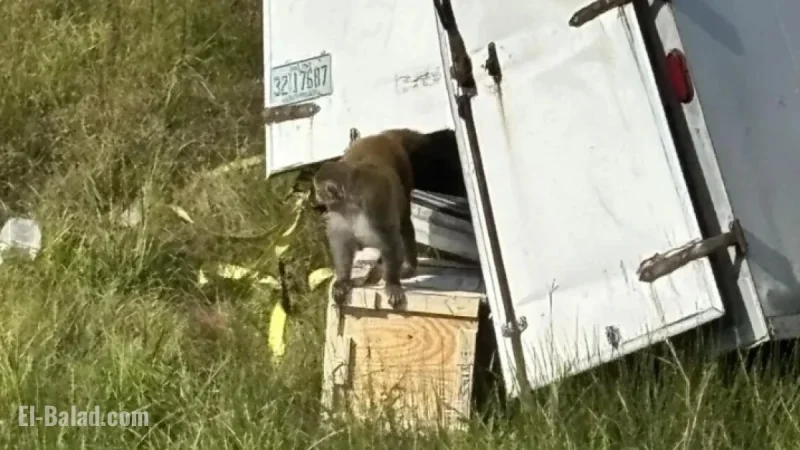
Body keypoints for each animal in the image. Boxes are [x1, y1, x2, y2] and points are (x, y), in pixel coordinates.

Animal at [313, 130, 419, 308]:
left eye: (318, 190)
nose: (316, 196)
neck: (350, 202)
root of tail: (381, 136)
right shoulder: (338, 211)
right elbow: (341, 241)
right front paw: (343, 281)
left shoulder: (374, 203)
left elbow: (390, 241)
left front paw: (392, 283)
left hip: (404, 169)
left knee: (404, 222)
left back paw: (409, 266)